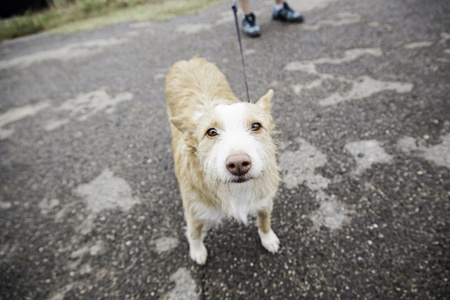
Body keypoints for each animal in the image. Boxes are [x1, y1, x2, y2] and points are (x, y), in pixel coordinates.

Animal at [163, 57, 280, 264]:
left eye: (256, 126)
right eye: (211, 132)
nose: (238, 164)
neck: (235, 190)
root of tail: (190, 59)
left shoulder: (264, 198)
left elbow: (265, 220)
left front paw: (268, 238)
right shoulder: (193, 210)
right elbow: (194, 233)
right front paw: (197, 251)